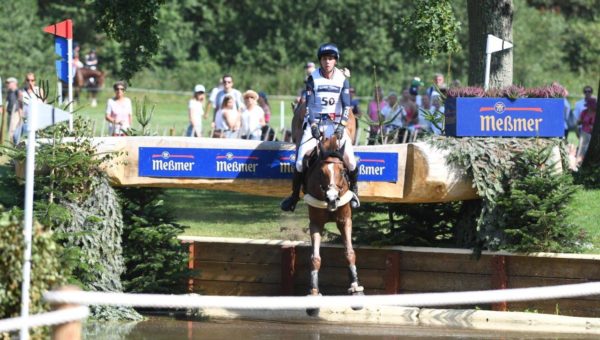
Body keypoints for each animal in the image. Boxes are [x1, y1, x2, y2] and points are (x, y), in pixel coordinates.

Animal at [290, 100, 364, 316]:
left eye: (342, 171)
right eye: (321, 172)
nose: (332, 198)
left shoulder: (345, 220)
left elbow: (350, 253)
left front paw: (356, 290)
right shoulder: (316, 223)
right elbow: (315, 258)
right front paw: (314, 295)